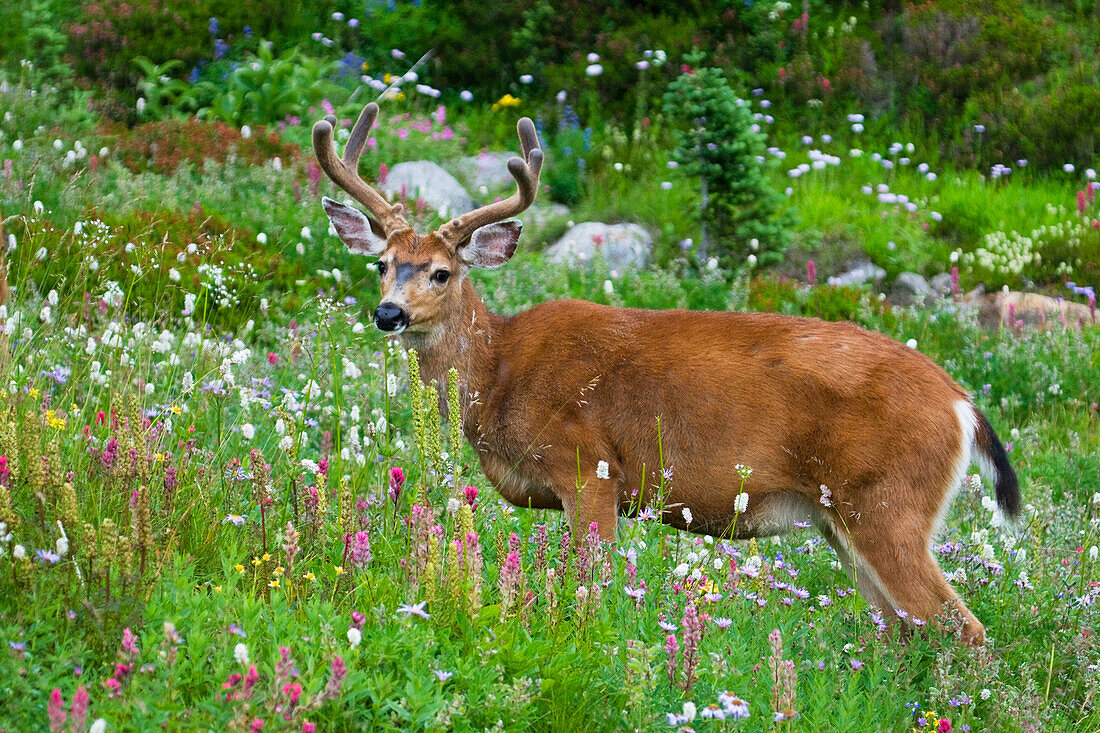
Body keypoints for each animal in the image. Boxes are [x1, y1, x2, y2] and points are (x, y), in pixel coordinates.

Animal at [314, 102, 1016, 647]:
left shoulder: (589, 466)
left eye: (441, 271)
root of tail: (962, 403)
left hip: (888, 501)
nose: (388, 313)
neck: (500, 370)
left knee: (961, 626)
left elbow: (590, 584)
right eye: (382, 263)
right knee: (903, 629)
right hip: (847, 517)